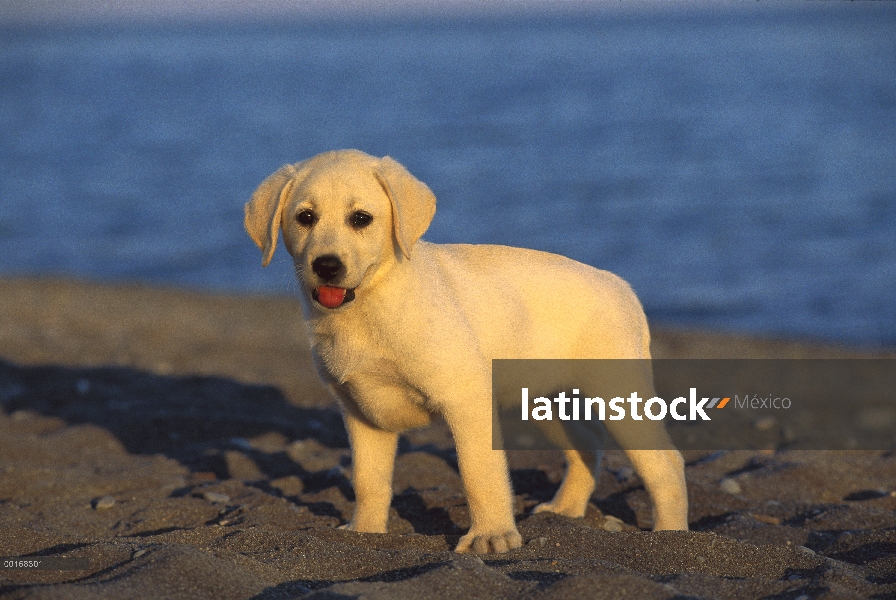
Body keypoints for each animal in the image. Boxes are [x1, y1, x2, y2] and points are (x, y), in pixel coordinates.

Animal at [243, 149, 688, 552]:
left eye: (361, 219)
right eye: (305, 218)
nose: (326, 266)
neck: (374, 301)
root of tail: (619, 284)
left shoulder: (467, 400)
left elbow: (479, 473)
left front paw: (490, 537)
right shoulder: (361, 412)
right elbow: (368, 480)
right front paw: (364, 533)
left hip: (619, 395)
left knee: (665, 463)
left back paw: (671, 536)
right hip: (542, 400)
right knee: (586, 445)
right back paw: (565, 510)